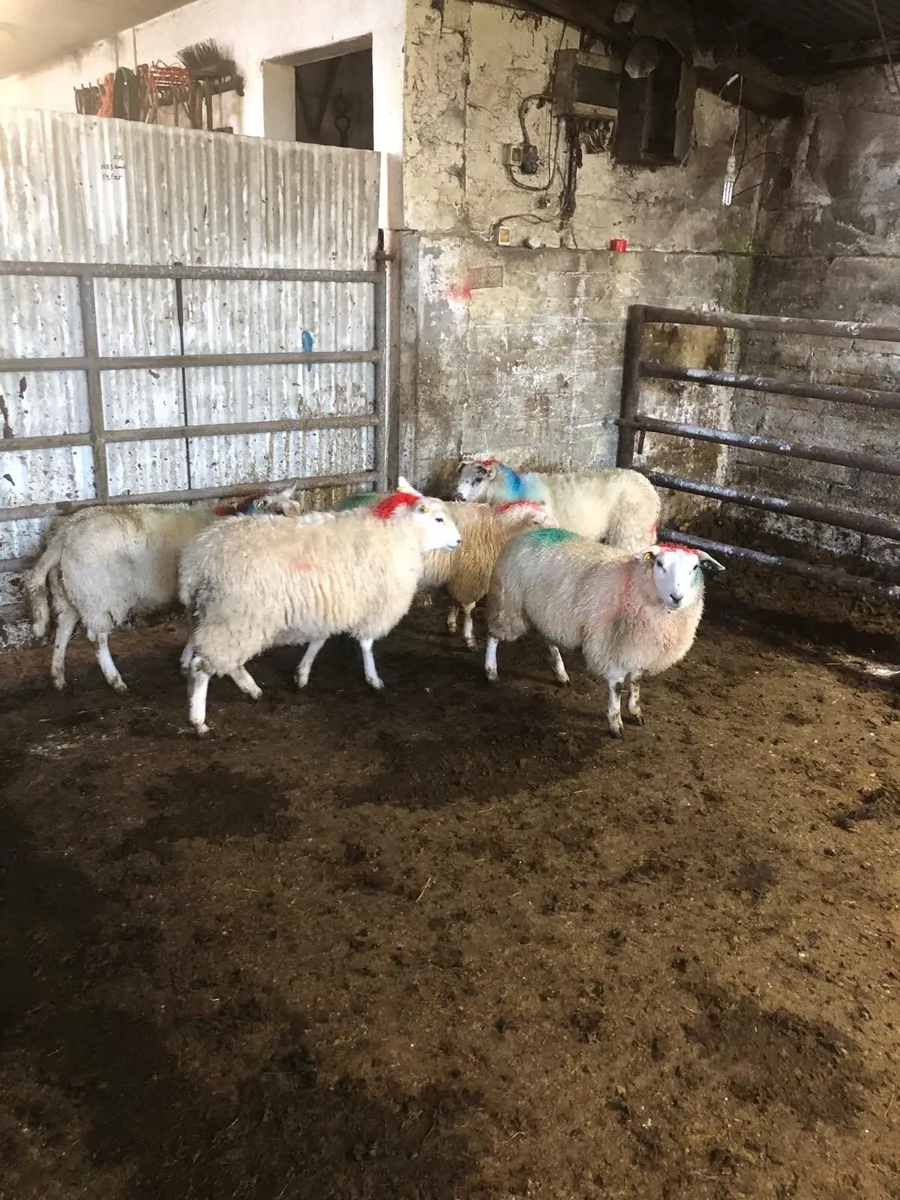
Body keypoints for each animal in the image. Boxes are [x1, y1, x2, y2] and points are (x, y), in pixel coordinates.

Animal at [24, 484, 302, 694]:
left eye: (298, 508)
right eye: (278, 511)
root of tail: (67, 530)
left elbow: (192, 630)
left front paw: (184, 662)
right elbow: (195, 629)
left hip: (69, 593)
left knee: (63, 629)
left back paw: (58, 677)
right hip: (99, 598)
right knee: (97, 638)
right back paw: (116, 681)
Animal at [179, 483, 461, 735]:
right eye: (438, 519)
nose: (459, 541)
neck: (398, 533)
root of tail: (198, 559)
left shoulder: (328, 605)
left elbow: (319, 640)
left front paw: (302, 674)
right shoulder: (374, 603)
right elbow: (366, 643)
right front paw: (373, 679)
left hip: (219, 618)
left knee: (226, 662)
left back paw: (250, 689)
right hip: (235, 617)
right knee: (202, 667)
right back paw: (198, 720)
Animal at [484, 531, 724, 737]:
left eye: (695, 567)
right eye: (659, 563)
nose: (677, 597)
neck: (635, 583)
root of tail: (526, 533)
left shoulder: (639, 648)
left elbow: (635, 682)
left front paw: (635, 711)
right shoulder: (614, 647)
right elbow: (617, 688)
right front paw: (615, 723)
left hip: (548, 613)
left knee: (548, 640)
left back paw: (560, 673)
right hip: (509, 602)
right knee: (494, 635)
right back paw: (491, 672)